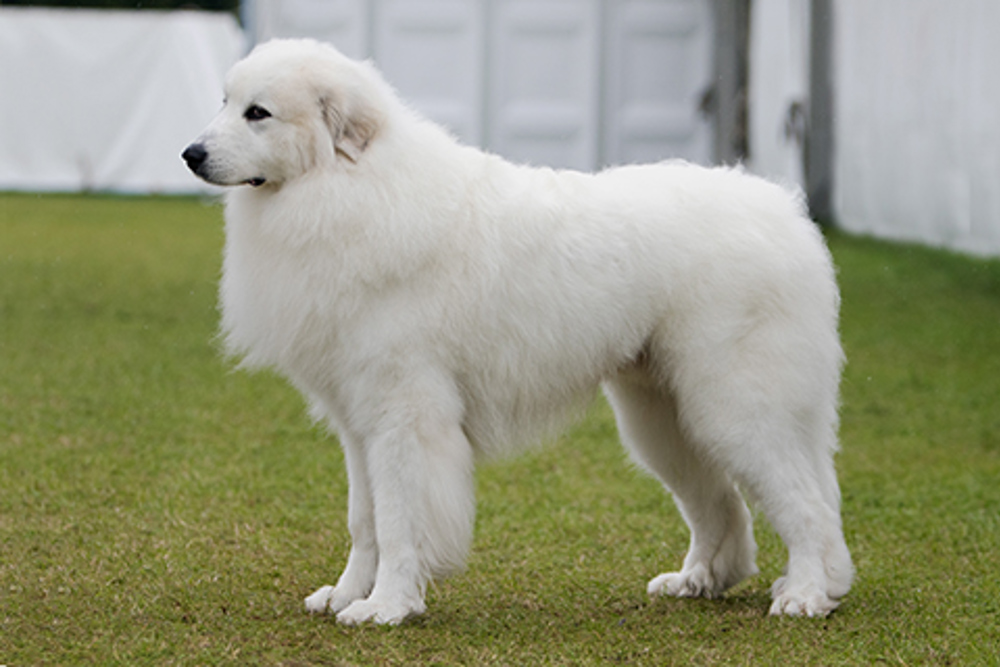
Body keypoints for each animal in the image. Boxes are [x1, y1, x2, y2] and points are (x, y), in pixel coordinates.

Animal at [182, 37, 852, 628]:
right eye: (224, 101)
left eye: (258, 113)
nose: (190, 154)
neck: (347, 189)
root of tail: (784, 212)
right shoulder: (358, 425)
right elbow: (363, 520)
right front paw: (347, 595)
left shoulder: (404, 418)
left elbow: (398, 521)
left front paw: (386, 607)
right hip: (664, 418)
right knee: (725, 506)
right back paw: (702, 580)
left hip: (734, 408)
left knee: (808, 506)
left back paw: (806, 595)